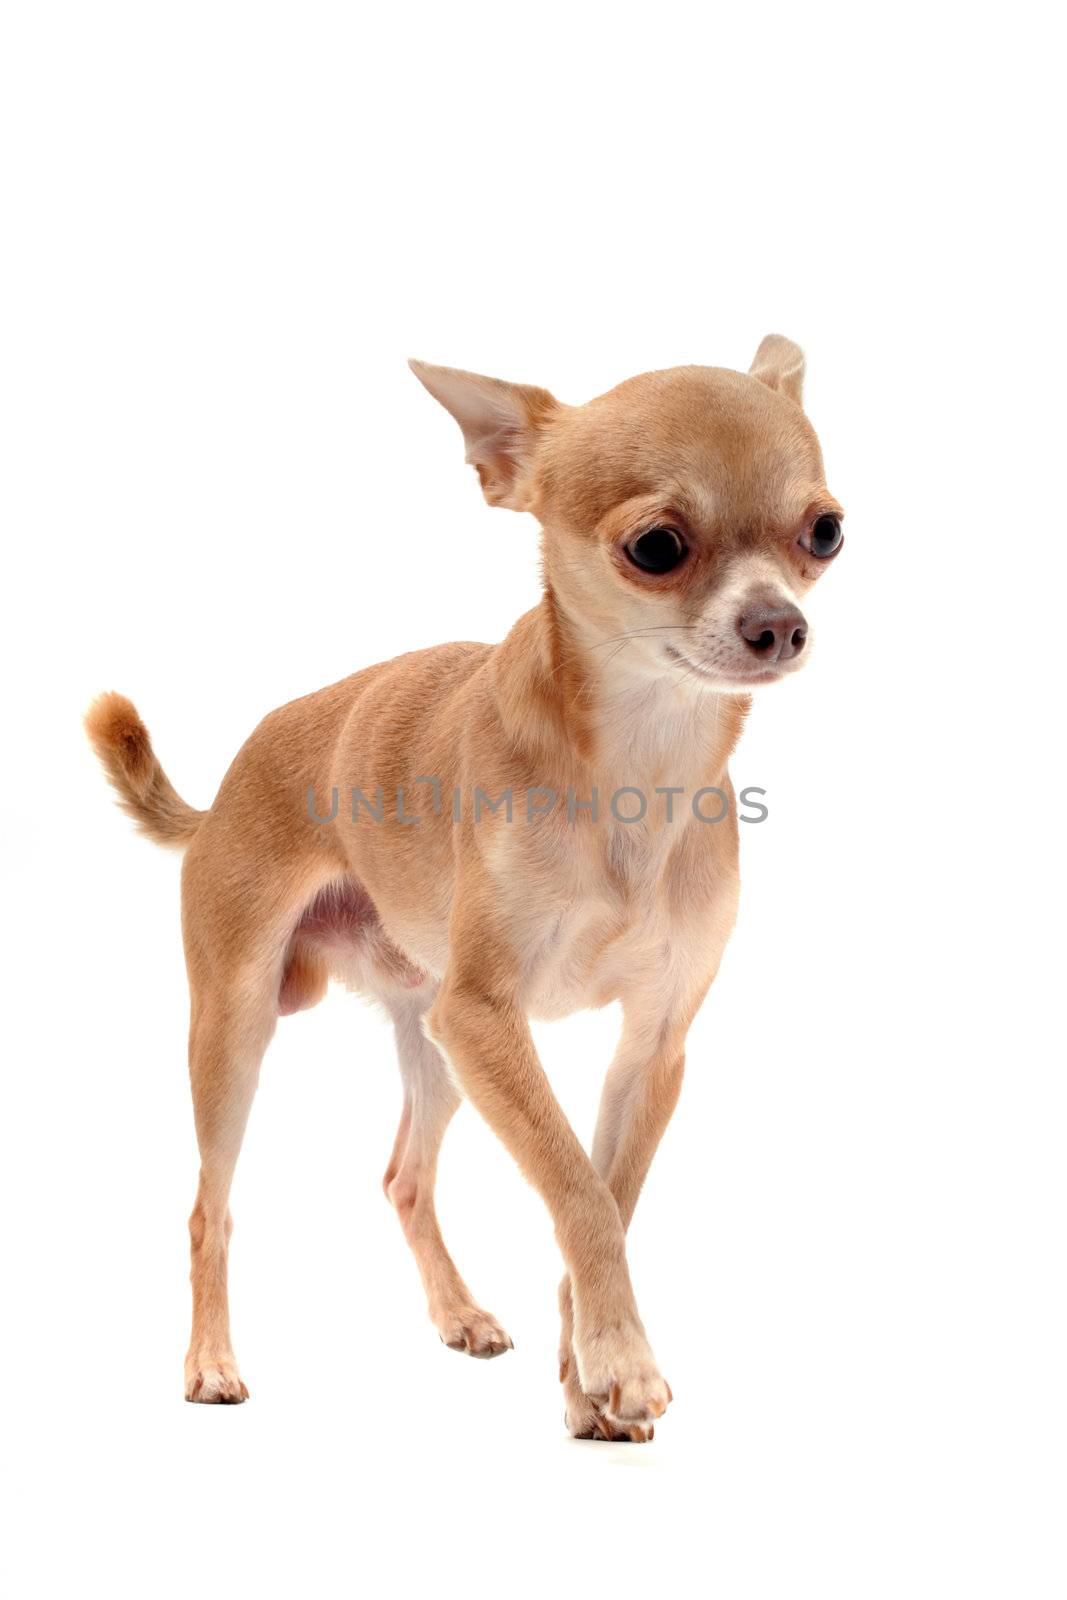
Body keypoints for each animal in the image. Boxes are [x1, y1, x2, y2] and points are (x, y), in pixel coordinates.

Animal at [85, 334, 844, 1440]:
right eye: (656, 546)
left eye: (824, 531)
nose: (779, 624)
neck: (641, 758)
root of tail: (223, 789)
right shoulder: (489, 1019)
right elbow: (578, 1191)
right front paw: (621, 1360)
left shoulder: (642, 1048)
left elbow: (603, 1197)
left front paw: (587, 1377)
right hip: (240, 1025)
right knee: (207, 1206)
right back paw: (212, 1361)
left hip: (434, 1039)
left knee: (404, 1176)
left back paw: (458, 1314)